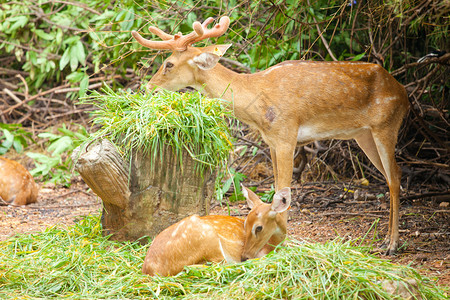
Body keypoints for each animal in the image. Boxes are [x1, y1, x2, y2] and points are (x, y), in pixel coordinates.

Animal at [132, 17, 410, 255]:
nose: (148, 88)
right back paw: (385, 240)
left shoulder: (287, 136)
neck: (257, 102)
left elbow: (283, 189)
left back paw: (392, 244)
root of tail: (403, 92)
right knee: (389, 176)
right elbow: (277, 188)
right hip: (363, 135)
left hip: (386, 125)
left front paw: (281, 240)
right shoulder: (272, 143)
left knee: (395, 176)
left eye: (168, 64)